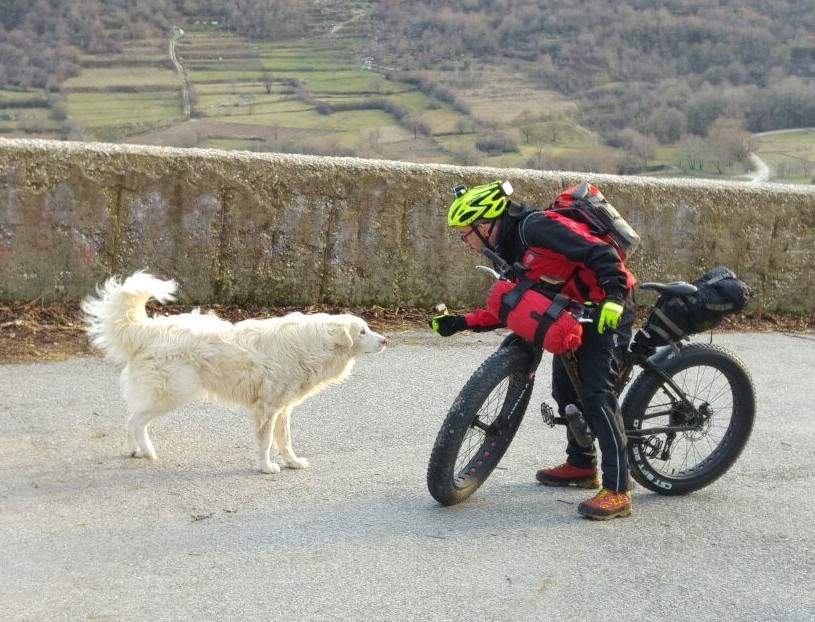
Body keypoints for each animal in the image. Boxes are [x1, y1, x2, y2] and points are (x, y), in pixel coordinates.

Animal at [81, 272, 388, 472]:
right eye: (362, 331)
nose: (385, 341)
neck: (315, 343)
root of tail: (149, 329)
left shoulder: (283, 408)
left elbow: (285, 440)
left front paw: (292, 462)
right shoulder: (267, 408)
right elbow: (266, 441)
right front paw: (266, 467)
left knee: (130, 419)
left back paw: (134, 450)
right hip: (171, 394)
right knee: (135, 420)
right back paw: (147, 451)